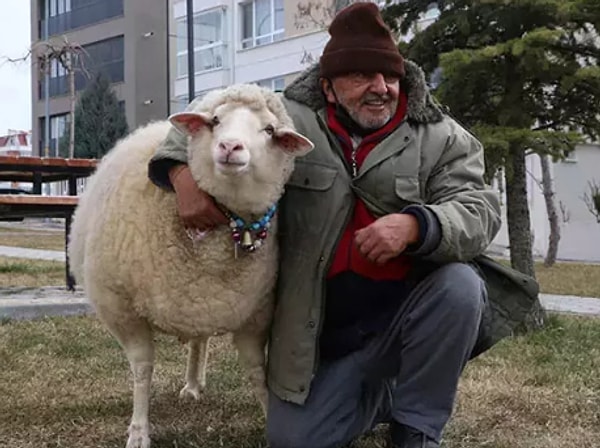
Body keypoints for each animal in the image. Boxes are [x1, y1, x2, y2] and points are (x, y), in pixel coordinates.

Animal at [67, 85, 314, 448]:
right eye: (215, 120)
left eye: (269, 130)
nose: (229, 147)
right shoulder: (122, 309)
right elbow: (142, 368)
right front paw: (138, 431)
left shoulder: (256, 313)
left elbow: (258, 371)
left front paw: (272, 418)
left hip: (204, 301)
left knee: (200, 340)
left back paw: (195, 383)